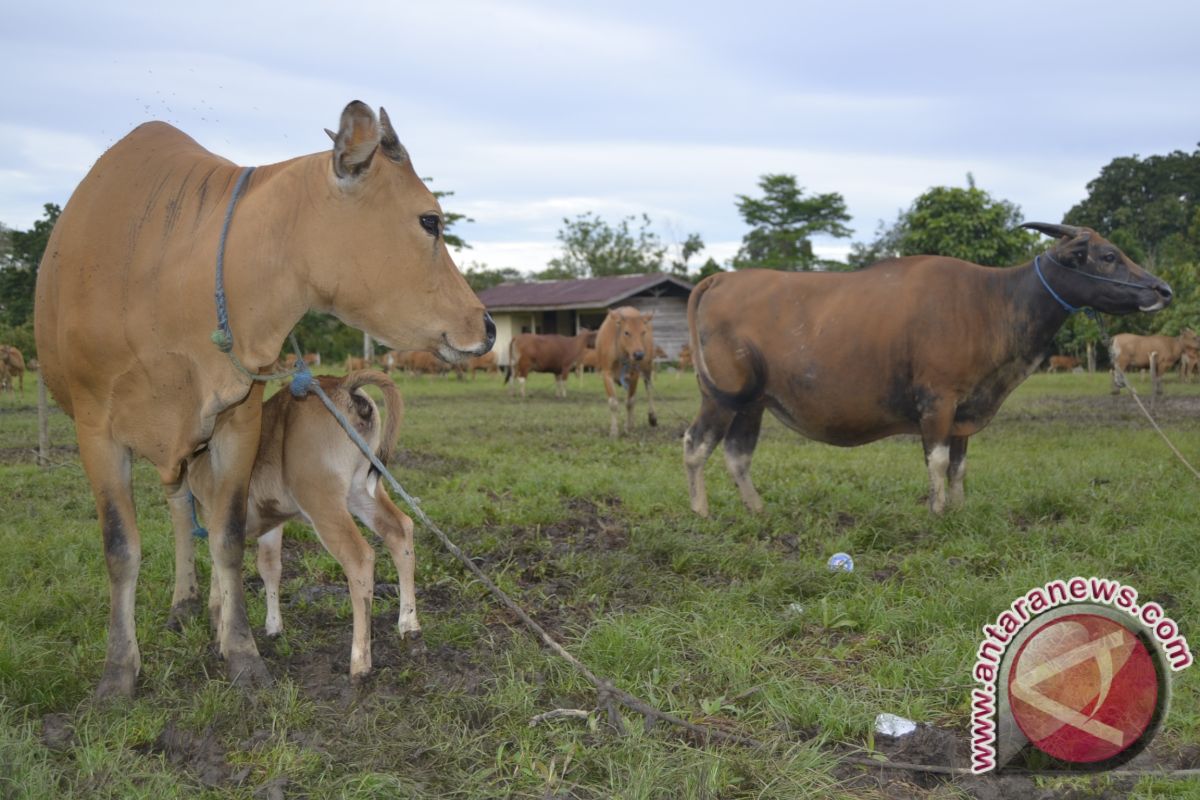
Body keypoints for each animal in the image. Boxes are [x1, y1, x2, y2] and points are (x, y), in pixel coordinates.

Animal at [184, 374, 415, 681]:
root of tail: (343, 383)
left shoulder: (216, 517)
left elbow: (221, 570)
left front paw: (222, 637)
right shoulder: (271, 522)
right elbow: (269, 567)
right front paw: (273, 626)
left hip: (320, 497)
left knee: (359, 557)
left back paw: (359, 663)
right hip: (363, 489)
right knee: (400, 529)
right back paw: (409, 625)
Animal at [686, 221, 1171, 515]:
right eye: (1108, 256)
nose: (1162, 289)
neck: (993, 301)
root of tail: (721, 278)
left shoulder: (964, 409)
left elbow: (958, 466)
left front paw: (957, 507)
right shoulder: (937, 400)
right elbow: (936, 461)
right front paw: (937, 512)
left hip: (753, 402)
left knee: (737, 454)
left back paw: (756, 509)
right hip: (721, 396)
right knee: (696, 445)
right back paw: (701, 511)